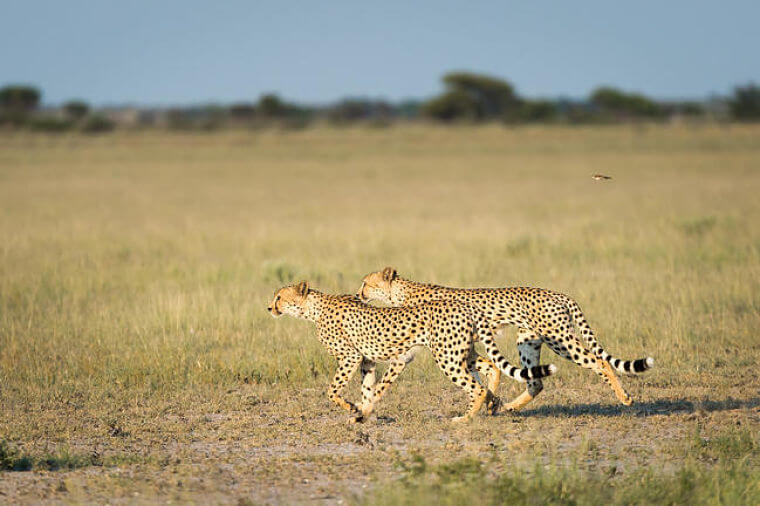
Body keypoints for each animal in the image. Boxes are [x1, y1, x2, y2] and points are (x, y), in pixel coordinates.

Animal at [268, 282, 560, 422]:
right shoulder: (367, 360)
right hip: (458, 352)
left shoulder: (350, 357)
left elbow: (332, 391)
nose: (269, 308)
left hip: (446, 357)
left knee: (476, 386)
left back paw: (465, 419)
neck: (313, 308)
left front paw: (352, 408)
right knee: (491, 367)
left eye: (280, 297)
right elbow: (368, 388)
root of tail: (464, 306)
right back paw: (491, 403)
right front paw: (363, 413)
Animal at [358, 266, 652, 414]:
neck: (400, 293)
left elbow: (382, 383)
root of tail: (559, 293)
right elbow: (484, 375)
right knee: (536, 382)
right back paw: (511, 406)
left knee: (600, 362)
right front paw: (489, 402)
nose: (358, 293)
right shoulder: (464, 349)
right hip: (528, 342)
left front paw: (364, 406)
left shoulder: (411, 353)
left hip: (560, 339)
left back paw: (625, 397)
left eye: (366, 283)